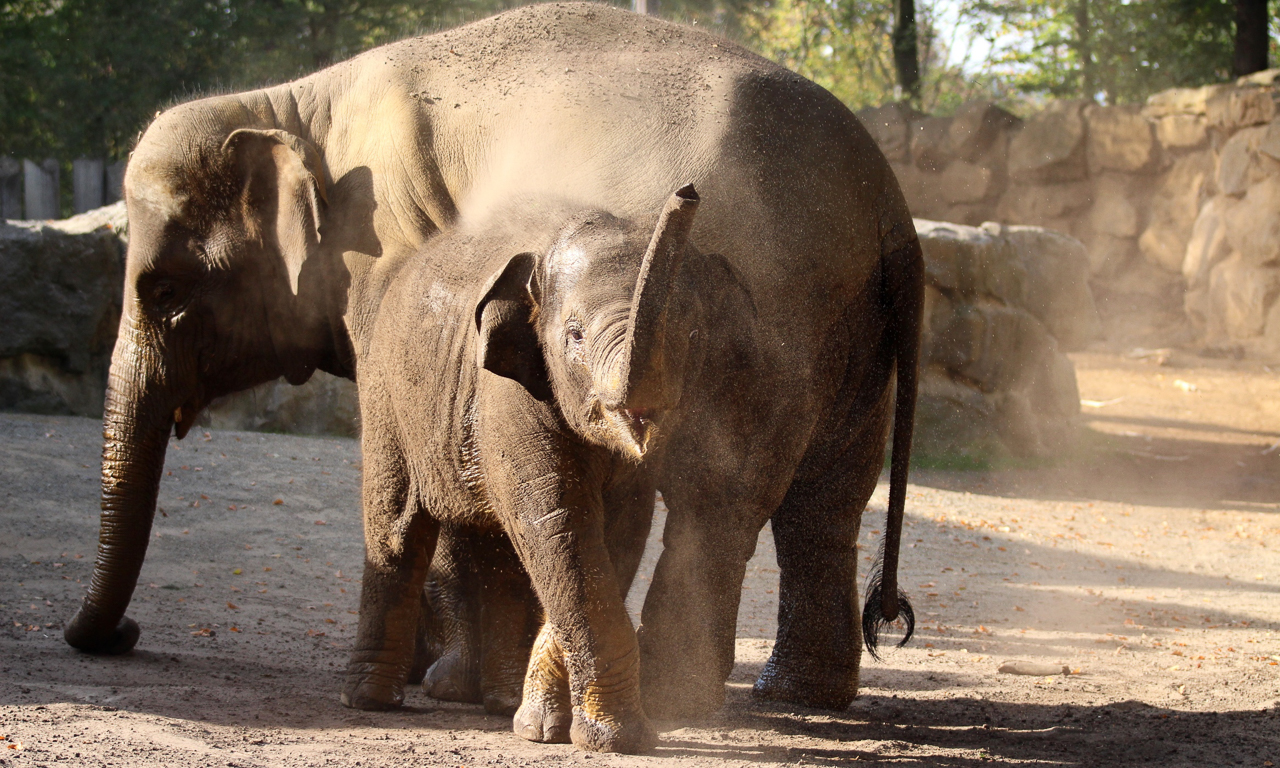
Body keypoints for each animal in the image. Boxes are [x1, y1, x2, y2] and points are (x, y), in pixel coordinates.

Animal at [343, 185, 742, 747]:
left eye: (690, 335)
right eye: (573, 335)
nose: (687, 191)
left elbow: (616, 532)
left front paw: (541, 727)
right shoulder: (507, 390)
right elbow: (561, 525)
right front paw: (619, 741)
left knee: (501, 557)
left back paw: (501, 702)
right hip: (385, 392)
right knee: (397, 530)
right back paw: (371, 701)